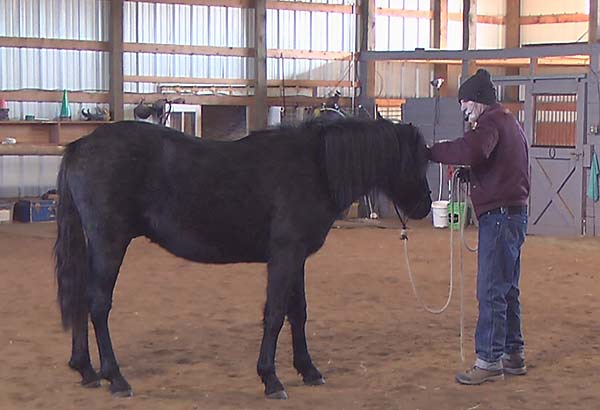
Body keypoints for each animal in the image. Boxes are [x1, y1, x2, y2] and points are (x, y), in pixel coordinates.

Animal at [55, 117, 432, 398]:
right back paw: (115, 378)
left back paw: (86, 370)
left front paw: (308, 370)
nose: (425, 206)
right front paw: (271, 379)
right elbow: (275, 314)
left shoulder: (297, 258)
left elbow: (298, 312)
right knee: (98, 304)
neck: (315, 168)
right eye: (415, 160)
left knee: (80, 301)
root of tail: (80, 146)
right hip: (110, 243)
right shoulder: (284, 255)